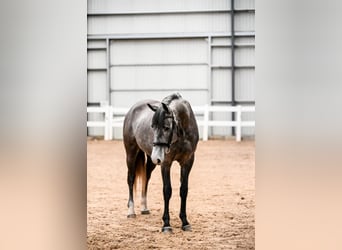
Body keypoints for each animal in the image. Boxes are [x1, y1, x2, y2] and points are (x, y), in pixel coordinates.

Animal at [123, 93, 199, 232]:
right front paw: (166, 224)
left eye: (166, 127)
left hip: (151, 161)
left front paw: (185, 222)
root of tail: (133, 109)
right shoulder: (166, 163)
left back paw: (144, 208)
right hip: (131, 153)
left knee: (146, 178)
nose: (156, 157)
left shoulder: (187, 162)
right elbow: (167, 190)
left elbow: (183, 190)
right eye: (152, 126)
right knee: (130, 179)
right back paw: (131, 211)